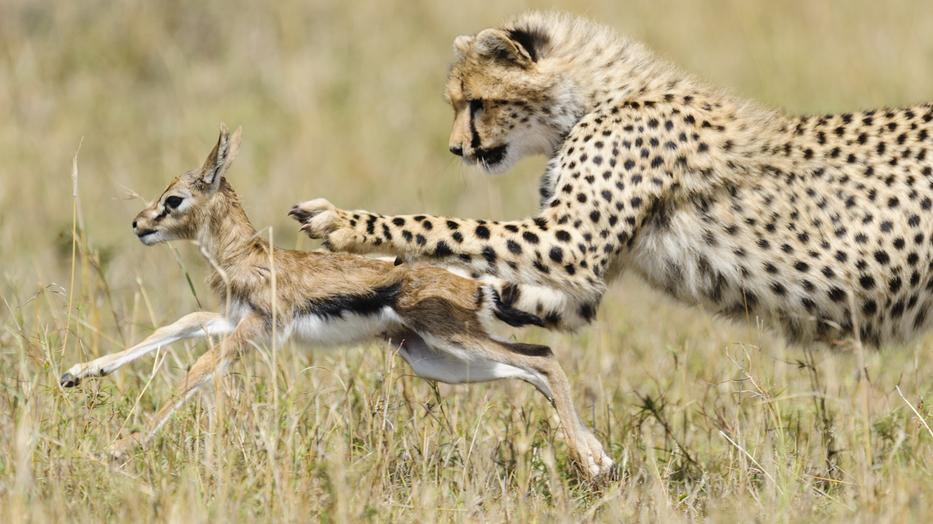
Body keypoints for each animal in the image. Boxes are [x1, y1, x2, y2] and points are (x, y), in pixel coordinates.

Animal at [294, 11, 933, 348]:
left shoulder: (568, 243)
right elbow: (482, 276)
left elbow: (445, 226)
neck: (593, 100)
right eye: (457, 104)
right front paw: (380, 280)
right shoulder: (581, 284)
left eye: (476, 102)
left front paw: (347, 225)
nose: (456, 148)